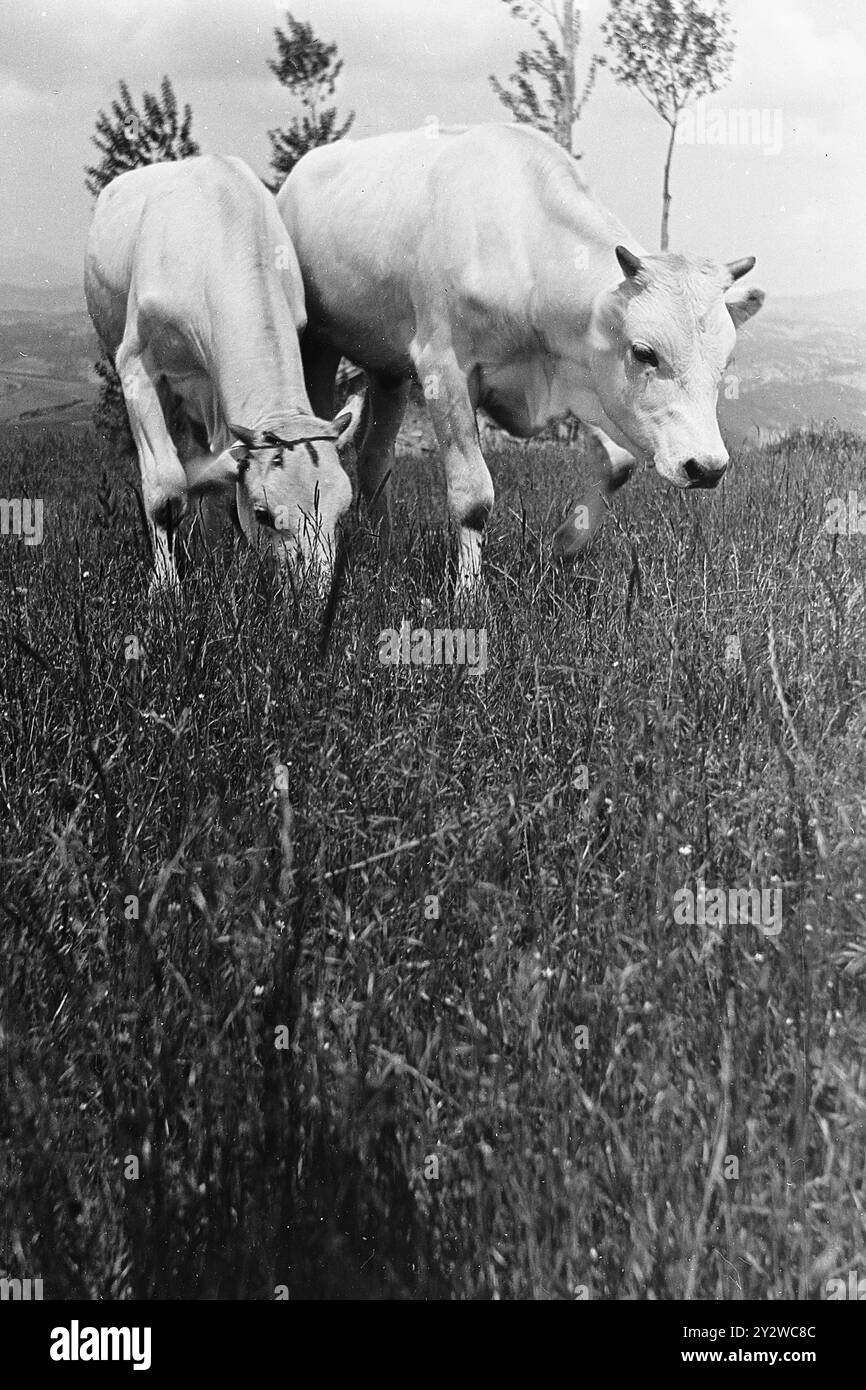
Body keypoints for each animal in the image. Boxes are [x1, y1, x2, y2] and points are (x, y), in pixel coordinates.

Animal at [83, 154, 358, 589]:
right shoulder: (136, 364)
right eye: (264, 514)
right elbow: (166, 486)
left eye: (343, 508)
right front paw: (165, 586)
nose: (314, 594)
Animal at [279, 120, 767, 592]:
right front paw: (469, 597)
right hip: (316, 346)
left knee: (374, 459)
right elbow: (473, 495)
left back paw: (384, 546)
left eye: (726, 362)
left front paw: (564, 545)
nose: (707, 467)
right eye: (645, 352)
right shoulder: (443, 366)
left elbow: (619, 463)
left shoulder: (578, 375)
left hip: (388, 369)